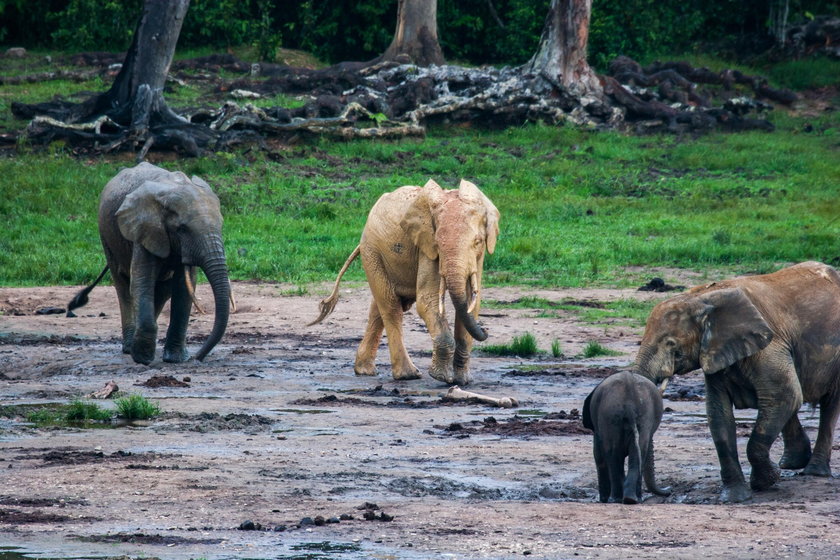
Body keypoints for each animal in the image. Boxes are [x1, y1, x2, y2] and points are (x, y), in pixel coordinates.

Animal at [68, 162, 230, 366]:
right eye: (182, 229)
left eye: (221, 226)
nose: (197, 358)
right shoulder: (144, 229)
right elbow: (141, 281)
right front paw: (143, 357)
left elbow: (183, 288)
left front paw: (175, 359)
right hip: (106, 234)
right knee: (123, 284)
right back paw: (129, 347)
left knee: (162, 289)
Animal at [314, 179, 498, 384]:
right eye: (438, 243)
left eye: (478, 241)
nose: (486, 332)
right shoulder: (426, 247)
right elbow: (428, 301)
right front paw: (442, 378)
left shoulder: (478, 256)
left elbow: (472, 303)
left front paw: (462, 380)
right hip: (372, 251)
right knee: (390, 307)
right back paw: (407, 375)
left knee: (379, 308)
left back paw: (364, 370)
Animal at [584, 372, 668, 504]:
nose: (668, 492)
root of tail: (630, 404)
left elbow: (599, 455)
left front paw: (603, 499)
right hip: (634, 417)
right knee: (636, 452)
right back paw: (631, 499)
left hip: (610, 417)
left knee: (613, 454)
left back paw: (619, 499)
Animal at [636, 262, 840, 504]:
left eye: (671, 344)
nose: (666, 490)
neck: (699, 297)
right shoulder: (716, 352)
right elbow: (719, 415)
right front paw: (734, 497)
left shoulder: (769, 346)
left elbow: (784, 395)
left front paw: (766, 481)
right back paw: (791, 464)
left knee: (827, 405)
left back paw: (814, 472)